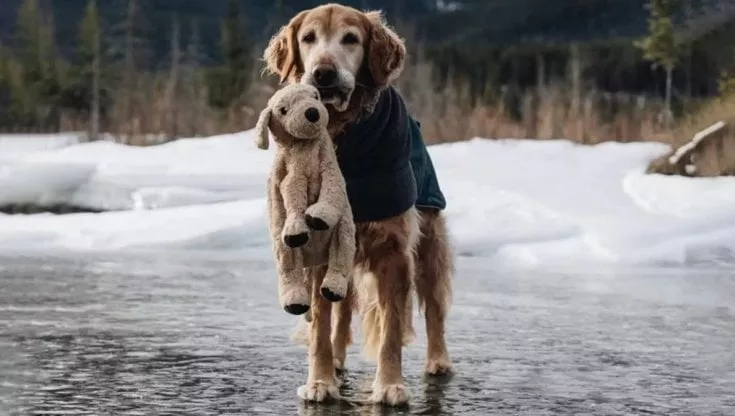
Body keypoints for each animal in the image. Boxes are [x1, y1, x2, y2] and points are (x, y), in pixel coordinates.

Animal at [262, 1, 452, 408]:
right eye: (308, 38)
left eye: (351, 38)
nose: (323, 73)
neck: (345, 133)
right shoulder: (318, 245)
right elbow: (320, 323)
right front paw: (319, 381)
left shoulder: (395, 250)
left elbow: (392, 330)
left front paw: (390, 385)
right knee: (341, 313)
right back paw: (336, 360)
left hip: (430, 241)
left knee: (435, 309)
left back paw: (438, 360)